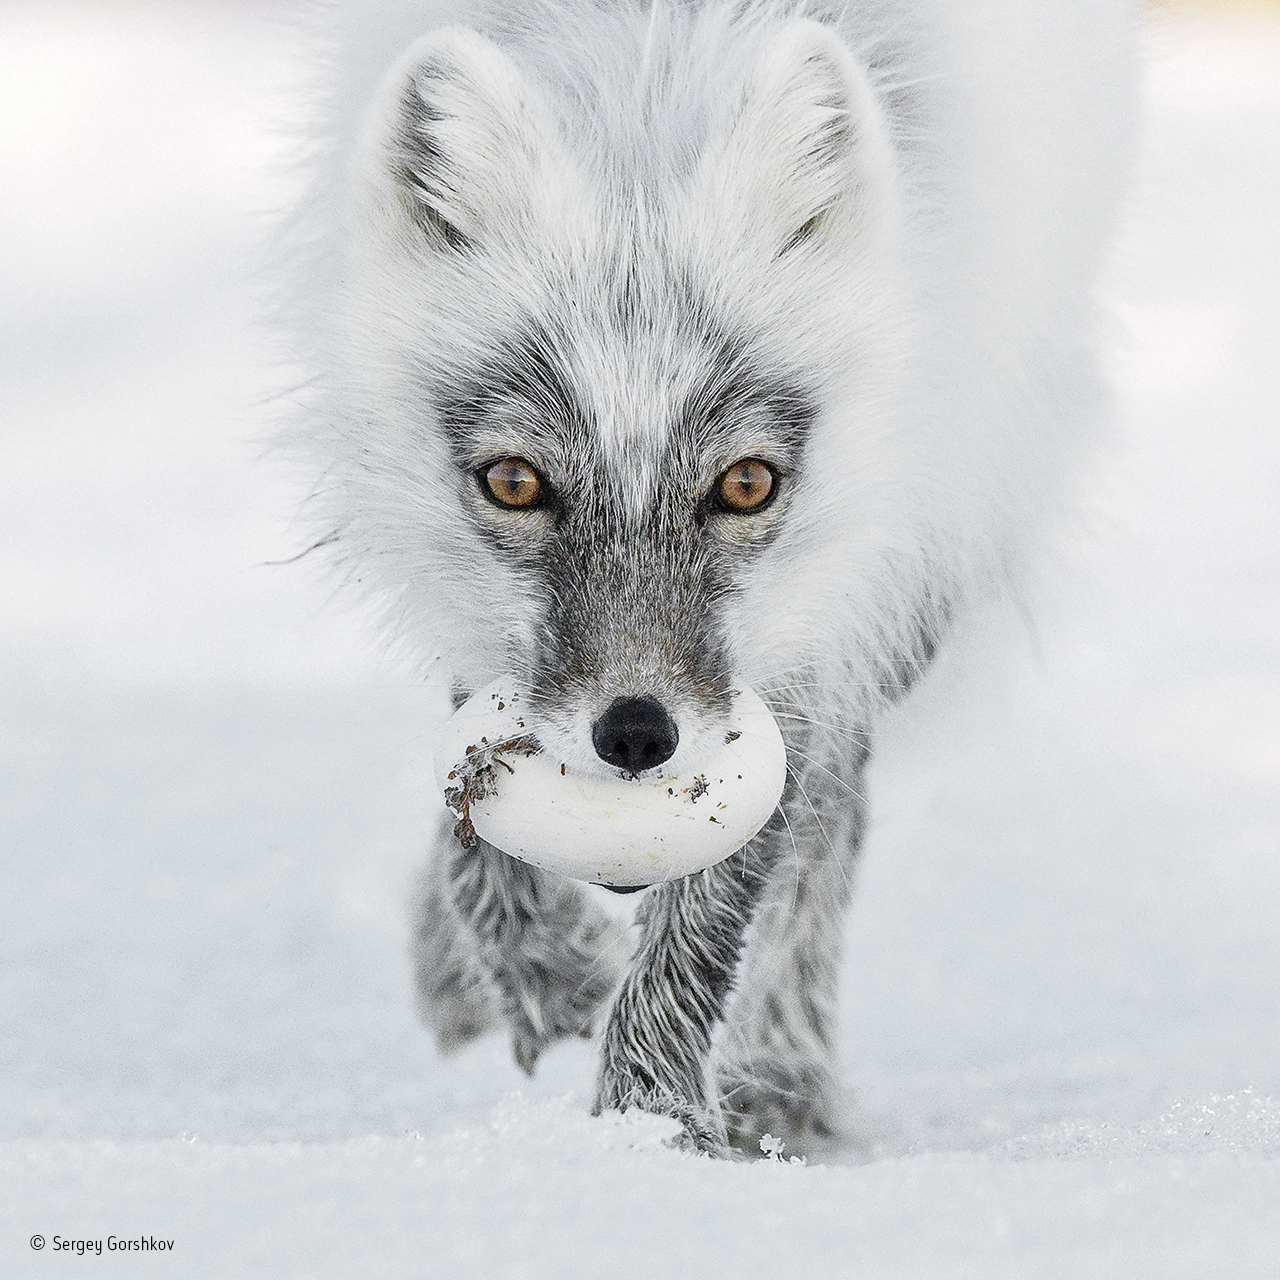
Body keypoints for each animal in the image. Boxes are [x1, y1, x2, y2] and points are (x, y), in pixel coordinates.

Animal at [288, 0, 1131, 1162]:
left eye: (744, 483)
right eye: (515, 481)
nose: (637, 735)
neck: (645, 84)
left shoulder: (813, 631)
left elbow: (721, 906)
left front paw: (653, 1132)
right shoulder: (476, 615)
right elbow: (475, 816)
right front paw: (546, 974)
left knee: (829, 828)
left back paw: (780, 1079)